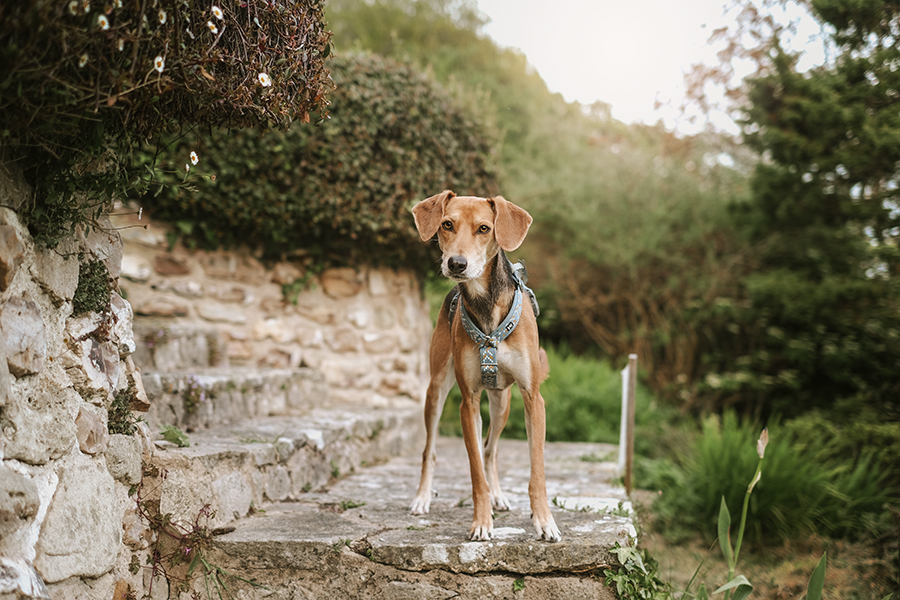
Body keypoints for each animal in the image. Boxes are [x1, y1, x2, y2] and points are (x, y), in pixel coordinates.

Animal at [410, 191, 564, 544]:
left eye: (484, 228)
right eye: (446, 224)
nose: (456, 264)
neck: (486, 304)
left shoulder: (533, 398)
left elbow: (536, 470)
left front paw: (544, 521)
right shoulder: (468, 402)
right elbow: (474, 470)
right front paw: (481, 522)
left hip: (502, 402)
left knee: (491, 450)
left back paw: (498, 495)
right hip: (436, 390)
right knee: (431, 450)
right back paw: (422, 497)